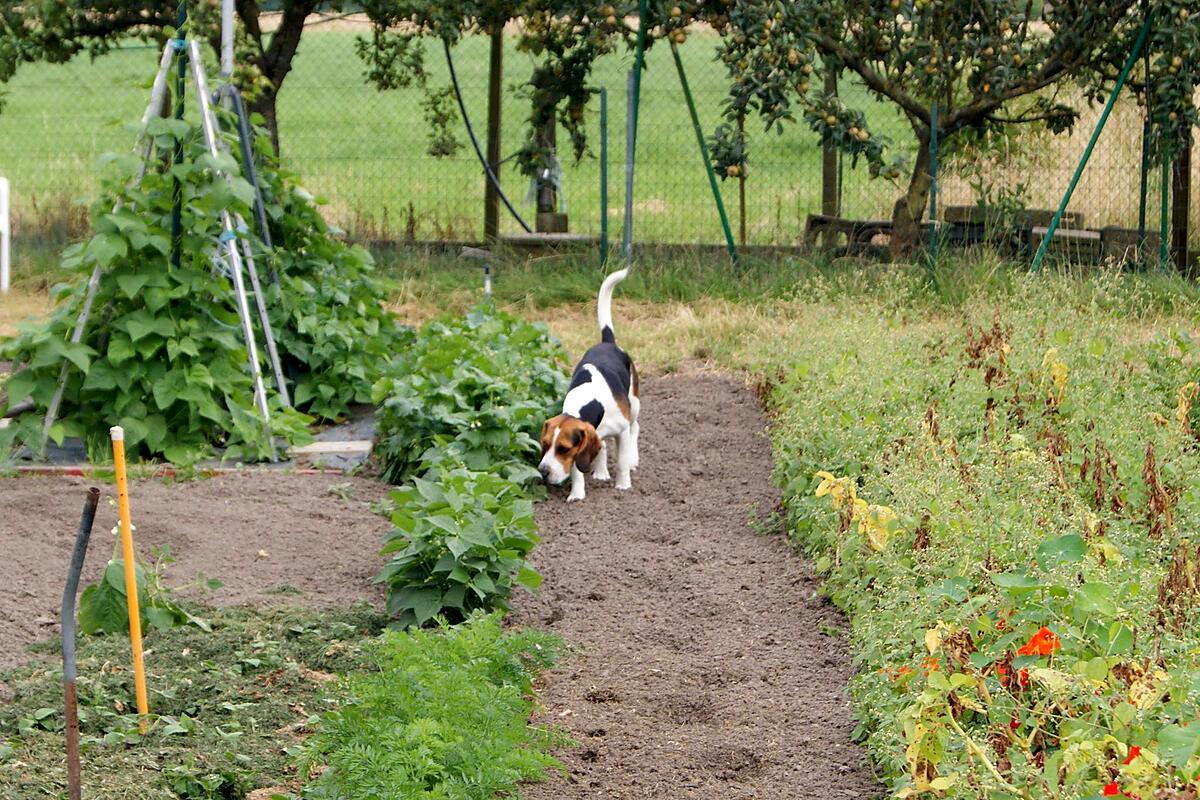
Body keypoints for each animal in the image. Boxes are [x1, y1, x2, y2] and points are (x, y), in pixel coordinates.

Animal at [540, 271, 643, 506]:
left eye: (563, 449)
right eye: (545, 444)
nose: (543, 471)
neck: (589, 401)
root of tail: (607, 342)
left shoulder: (621, 432)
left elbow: (621, 461)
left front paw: (623, 486)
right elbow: (578, 471)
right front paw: (577, 494)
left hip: (634, 405)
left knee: (635, 428)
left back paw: (633, 460)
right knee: (602, 445)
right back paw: (601, 472)